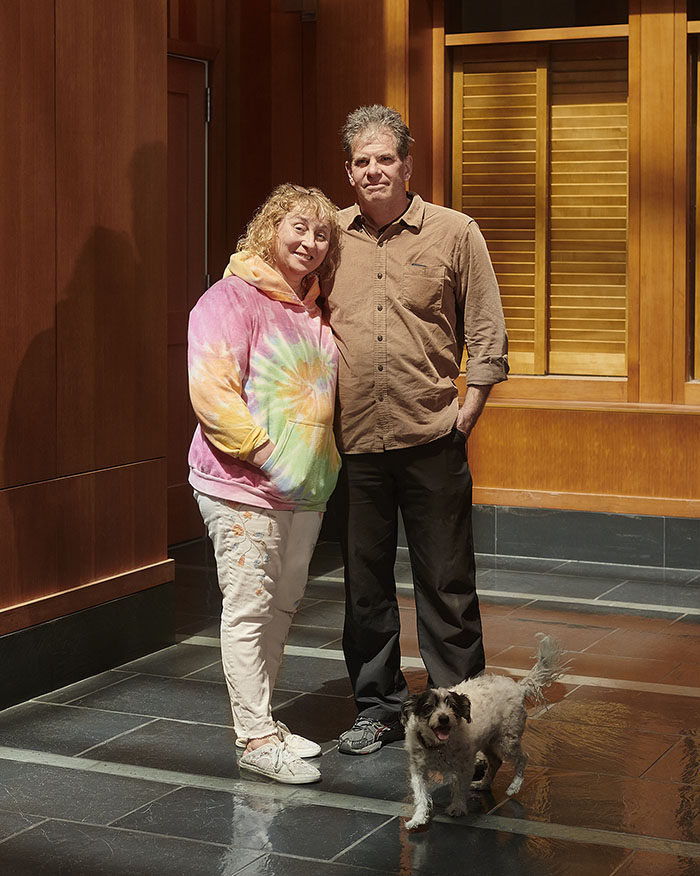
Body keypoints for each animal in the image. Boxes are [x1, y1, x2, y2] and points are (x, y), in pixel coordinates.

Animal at [400, 636, 568, 828]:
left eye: (452, 706)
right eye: (429, 707)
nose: (444, 718)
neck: (439, 746)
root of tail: (519, 687)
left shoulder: (464, 766)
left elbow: (459, 789)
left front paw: (457, 808)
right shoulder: (418, 770)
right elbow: (420, 796)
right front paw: (418, 818)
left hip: (506, 741)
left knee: (522, 758)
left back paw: (514, 786)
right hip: (489, 742)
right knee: (496, 762)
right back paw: (484, 784)